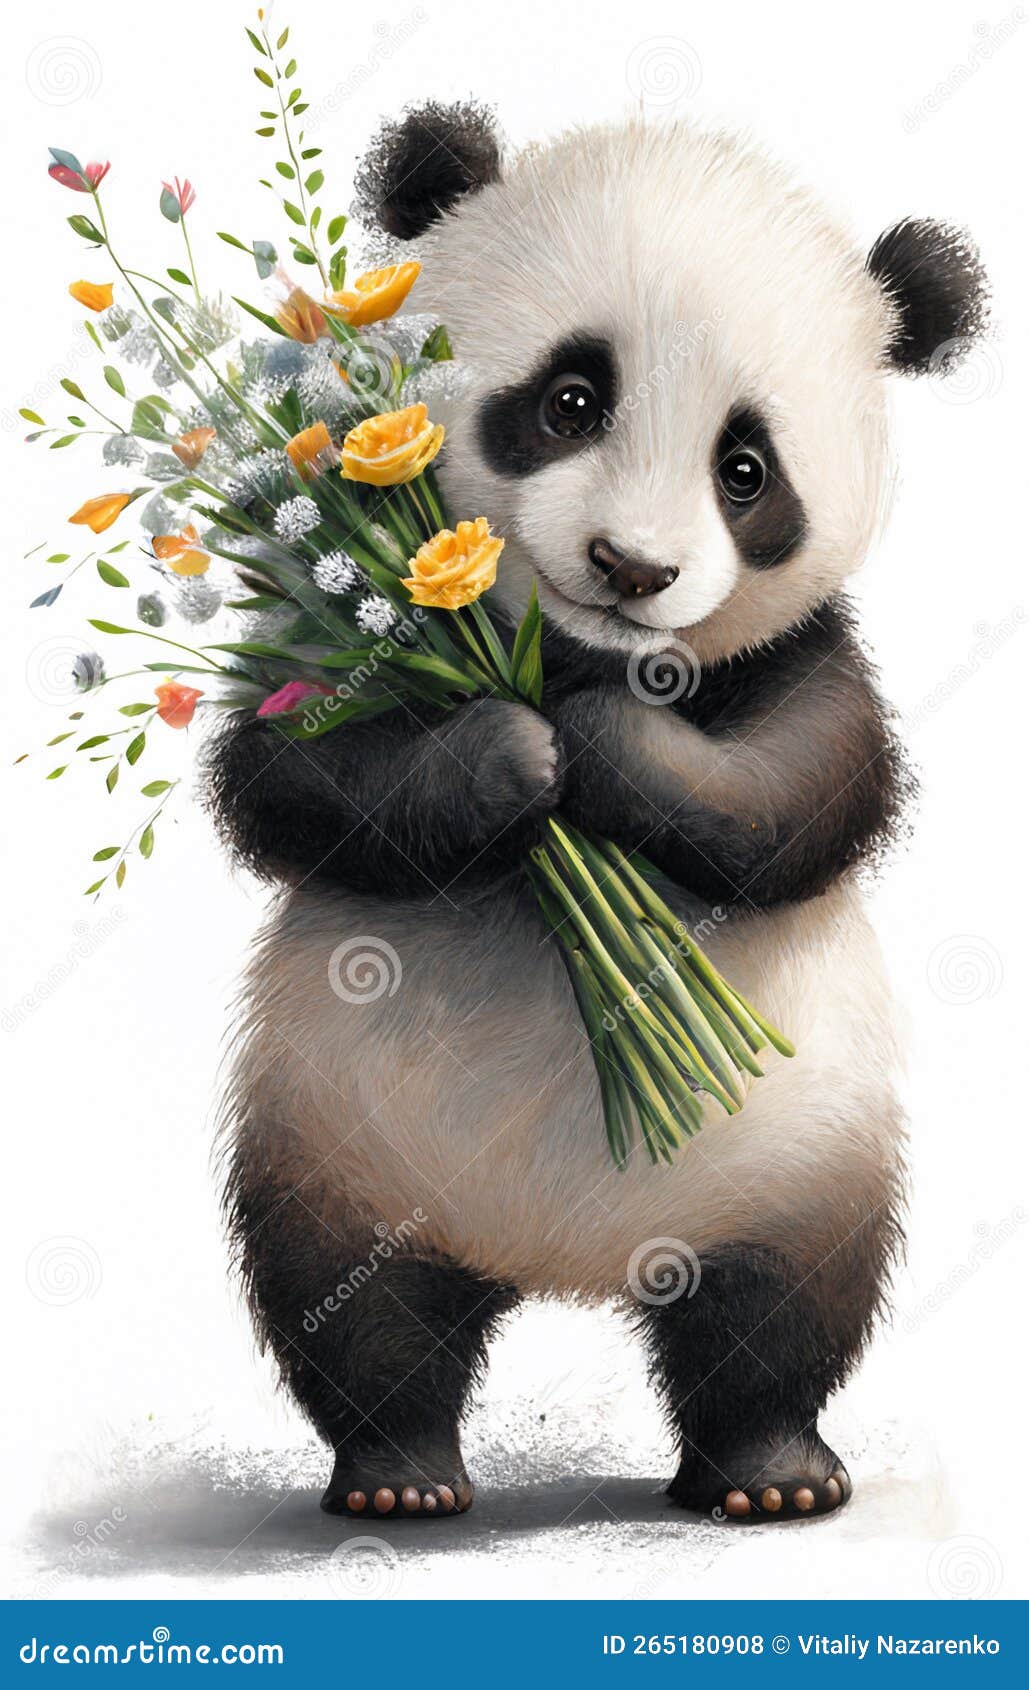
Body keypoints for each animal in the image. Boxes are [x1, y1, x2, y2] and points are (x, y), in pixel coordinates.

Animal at [206, 104, 988, 1525]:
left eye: (747, 469)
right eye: (571, 401)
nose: (632, 568)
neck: (577, 654)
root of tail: (575, 1259)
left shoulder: (803, 657)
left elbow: (814, 792)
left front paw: (606, 751)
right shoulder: (332, 624)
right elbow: (290, 770)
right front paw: (510, 755)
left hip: (805, 1157)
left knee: (781, 1312)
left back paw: (770, 1473)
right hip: (336, 1138)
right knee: (353, 1308)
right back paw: (400, 1475)